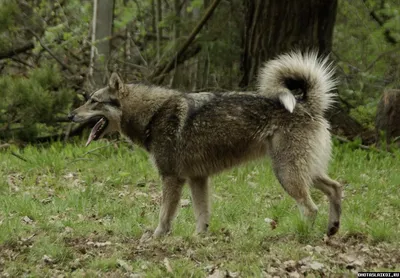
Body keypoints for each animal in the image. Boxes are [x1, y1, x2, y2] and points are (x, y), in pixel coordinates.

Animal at [68, 51, 340, 237]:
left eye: (93, 101)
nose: (70, 115)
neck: (154, 114)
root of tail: (306, 104)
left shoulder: (172, 178)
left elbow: (164, 216)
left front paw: (156, 238)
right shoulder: (197, 179)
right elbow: (202, 215)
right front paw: (199, 238)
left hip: (287, 174)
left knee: (311, 208)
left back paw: (301, 235)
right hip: (305, 173)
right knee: (336, 188)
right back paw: (332, 229)